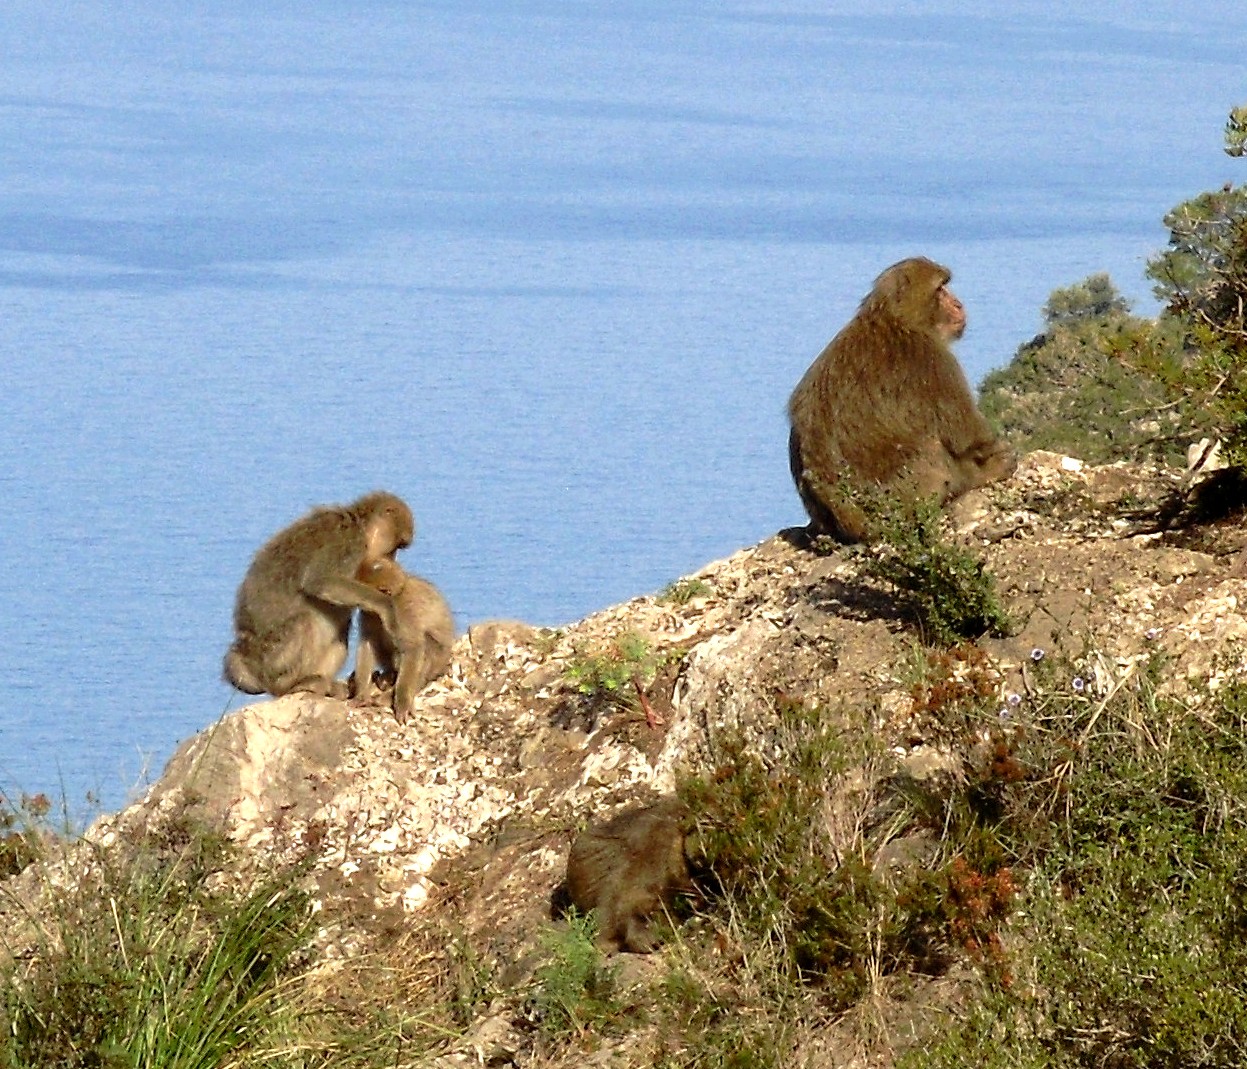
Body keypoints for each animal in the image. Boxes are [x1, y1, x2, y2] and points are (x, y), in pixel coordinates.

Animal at [223, 491, 414, 699]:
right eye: (395, 548)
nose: (393, 558)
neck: (358, 524)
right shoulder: (346, 540)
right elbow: (320, 580)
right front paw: (385, 605)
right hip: (272, 659)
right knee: (303, 622)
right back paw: (289, 686)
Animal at [350, 556, 455, 724]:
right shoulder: (370, 614)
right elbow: (368, 643)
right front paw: (361, 696)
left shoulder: (403, 610)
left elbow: (413, 648)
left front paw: (402, 703)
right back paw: (388, 676)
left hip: (438, 662)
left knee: (426, 645)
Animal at [787, 257, 1017, 542]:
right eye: (940, 290)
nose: (958, 304)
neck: (895, 319)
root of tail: (854, 524)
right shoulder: (933, 360)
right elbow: (969, 437)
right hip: (901, 495)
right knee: (931, 446)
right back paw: (975, 477)